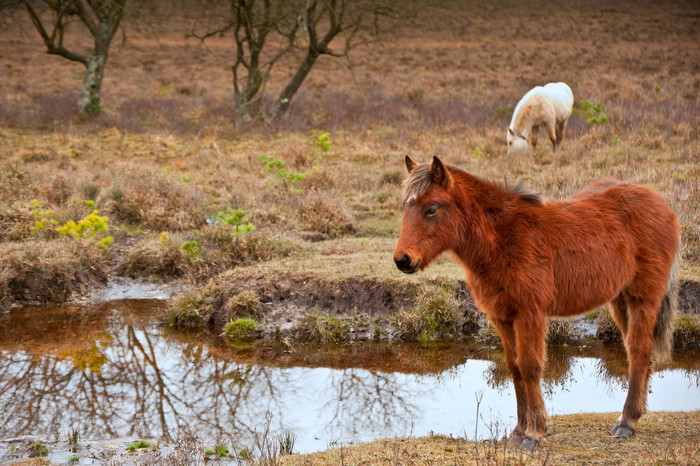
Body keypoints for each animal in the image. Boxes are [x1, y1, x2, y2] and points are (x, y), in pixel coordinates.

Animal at [394, 156, 680, 448]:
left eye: (431, 209)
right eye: (405, 207)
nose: (402, 260)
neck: (502, 239)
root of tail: (660, 203)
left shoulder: (529, 314)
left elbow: (530, 367)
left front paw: (535, 432)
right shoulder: (502, 317)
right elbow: (514, 368)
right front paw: (519, 430)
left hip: (643, 299)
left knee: (639, 350)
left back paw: (627, 422)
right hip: (620, 301)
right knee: (635, 352)